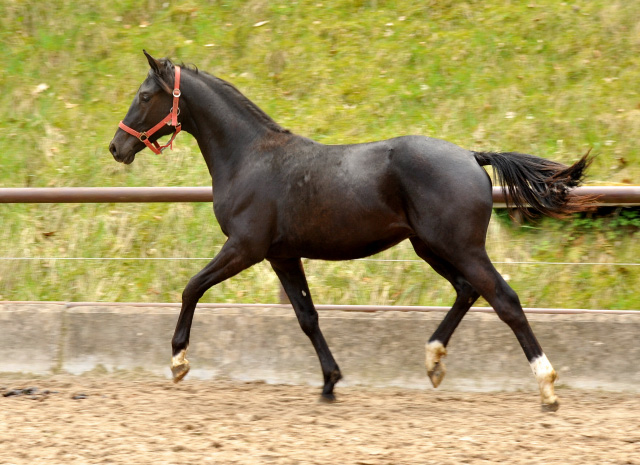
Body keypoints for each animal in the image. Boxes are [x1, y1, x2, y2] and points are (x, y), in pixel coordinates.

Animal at [107, 50, 592, 410]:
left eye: (145, 95)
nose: (117, 146)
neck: (249, 156)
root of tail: (473, 157)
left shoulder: (245, 247)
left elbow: (192, 287)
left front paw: (178, 361)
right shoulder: (282, 254)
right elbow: (307, 316)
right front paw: (329, 382)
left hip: (460, 246)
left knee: (504, 299)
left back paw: (547, 387)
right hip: (429, 246)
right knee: (467, 291)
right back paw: (434, 362)